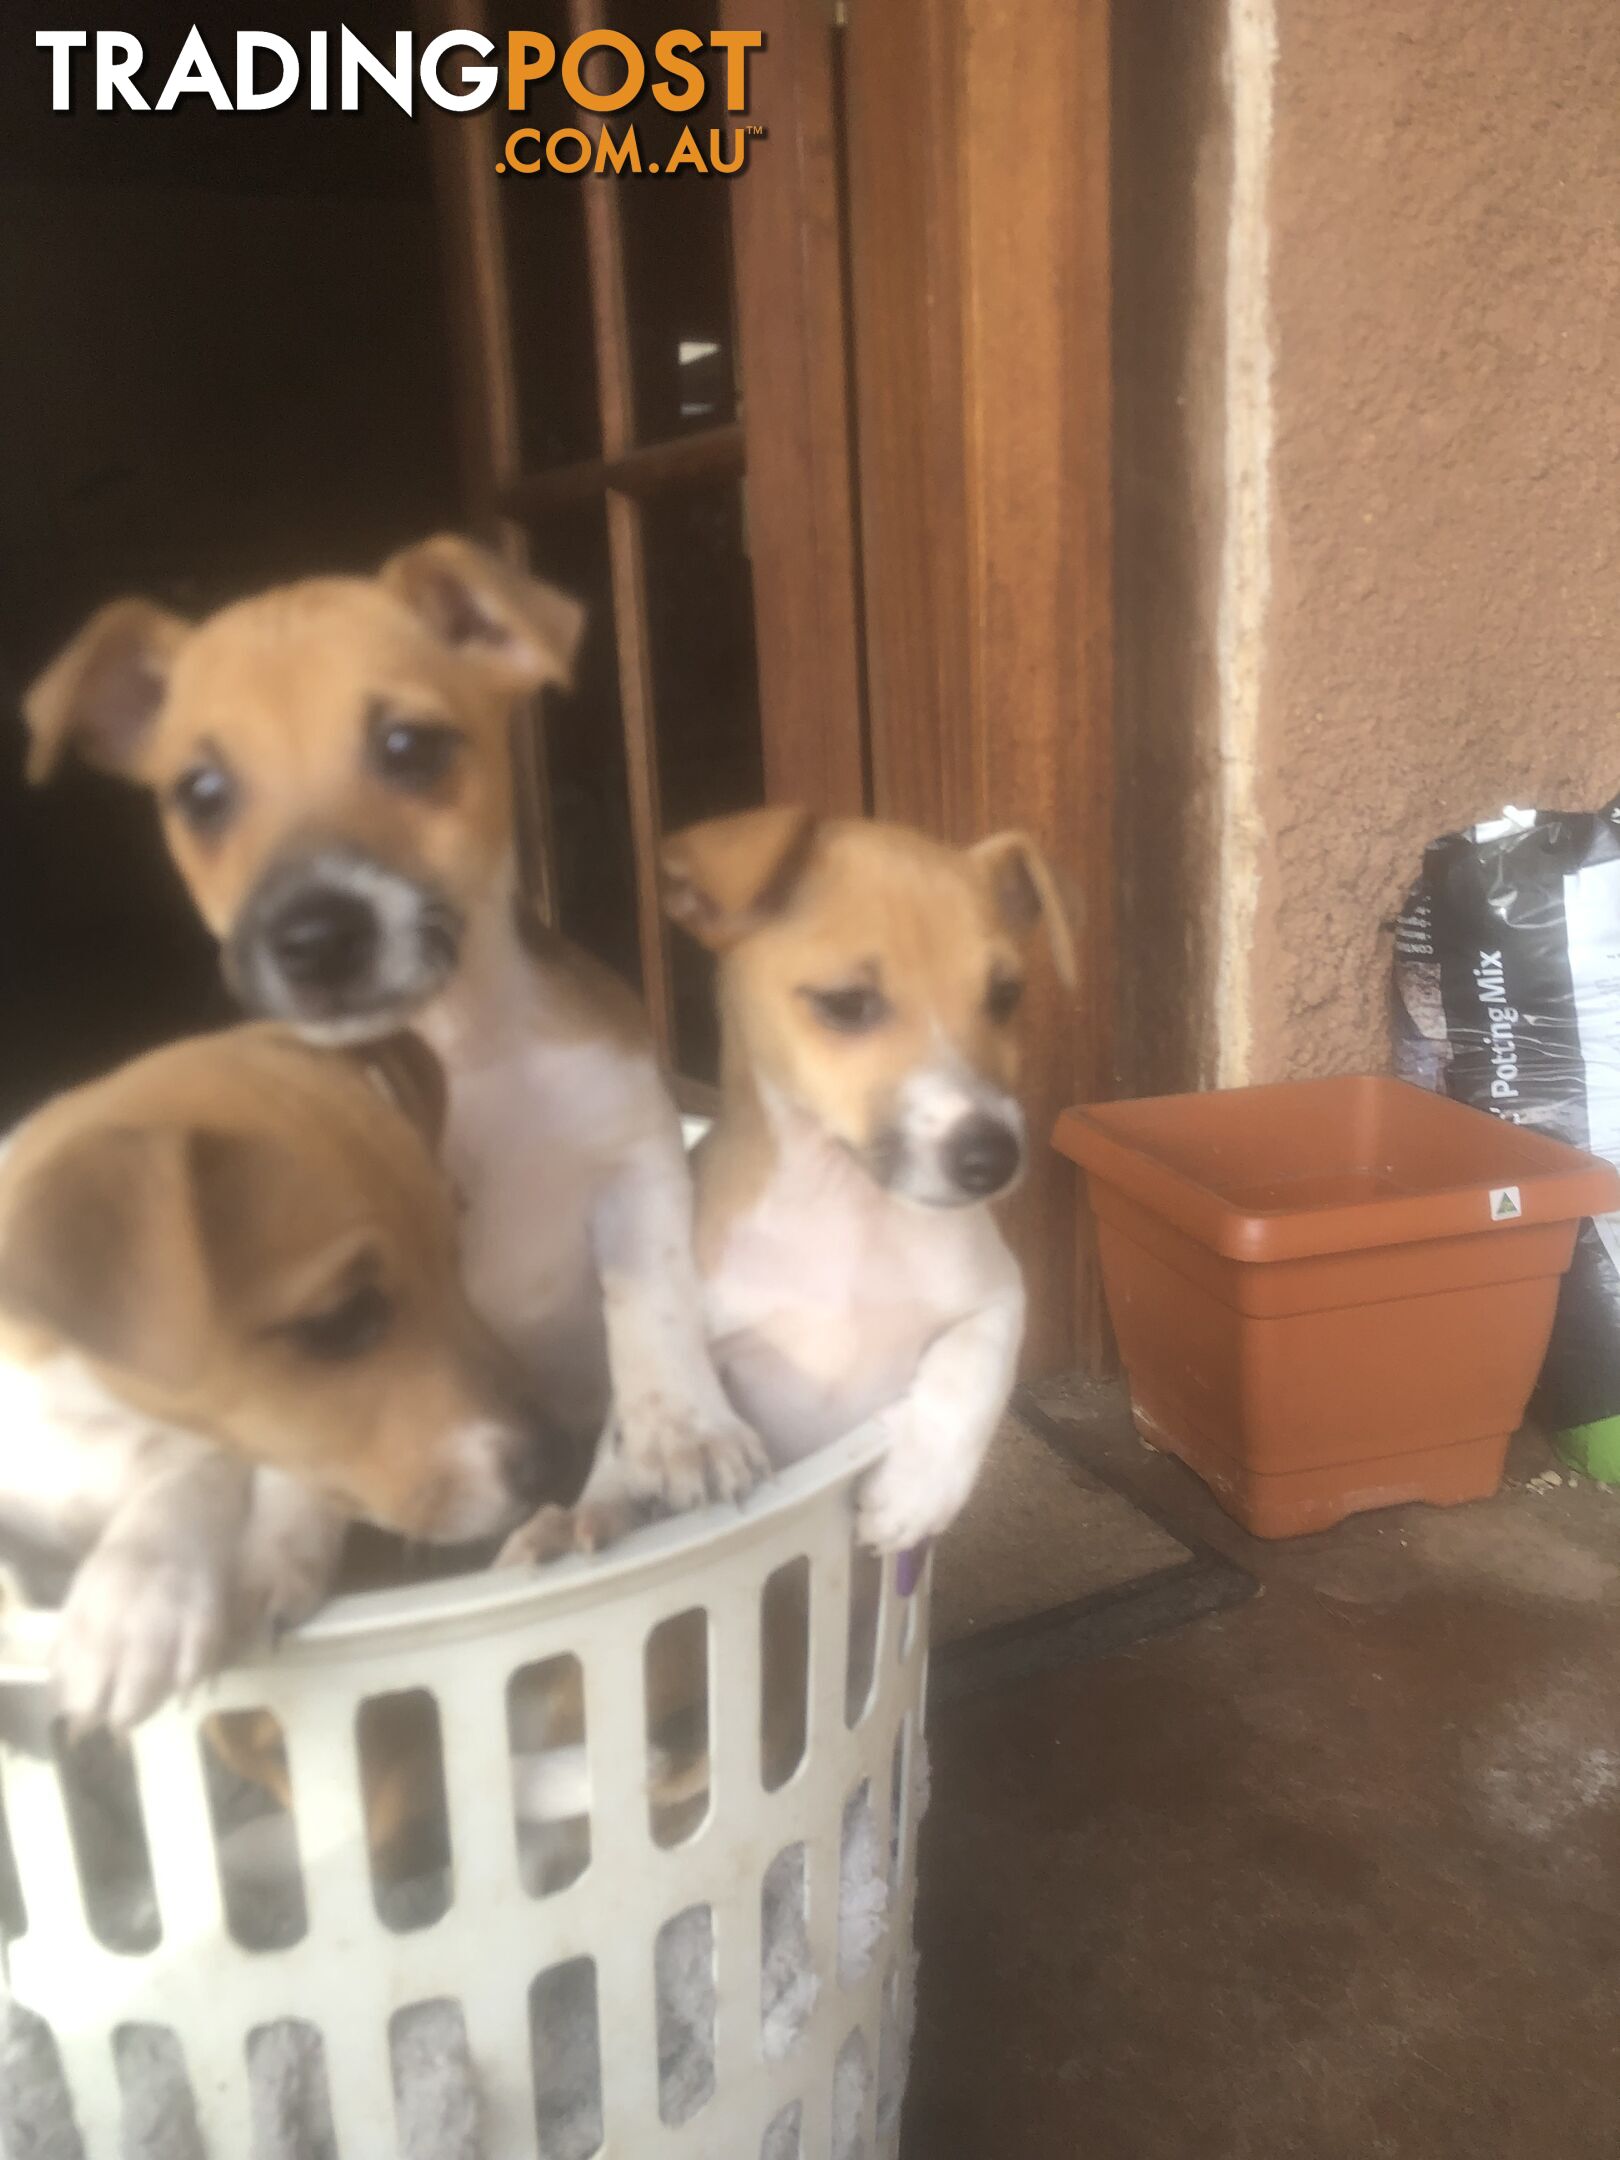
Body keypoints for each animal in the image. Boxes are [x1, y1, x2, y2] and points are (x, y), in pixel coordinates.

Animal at [0, 1019, 578, 1728]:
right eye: (342, 1319)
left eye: (455, 1253)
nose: (560, 1459)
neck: (83, 1415)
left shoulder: (220, 1447)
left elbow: (192, 1476)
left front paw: (132, 1606)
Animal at [19, 533, 768, 1563]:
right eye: (200, 794)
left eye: (409, 748)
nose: (313, 936)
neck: (463, 1044)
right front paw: (271, 1562)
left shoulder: (634, 1164)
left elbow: (648, 1307)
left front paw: (683, 1430)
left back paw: (582, 1509)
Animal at [660, 812, 1080, 1555]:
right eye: (847, 1004)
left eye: (1005, 996)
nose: (993, 1159)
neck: (848, 1211)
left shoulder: (998, 1296)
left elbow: (968, 1374)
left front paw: (917, 1492)